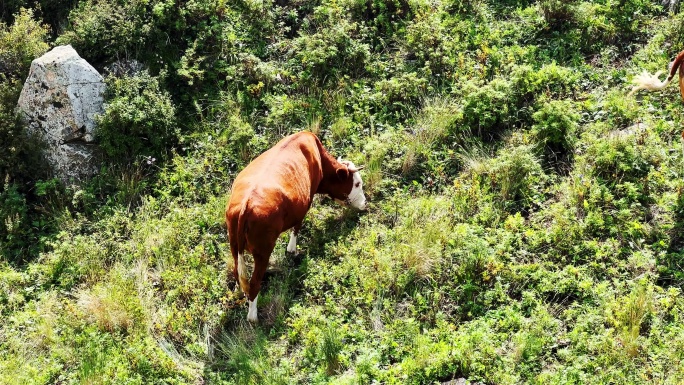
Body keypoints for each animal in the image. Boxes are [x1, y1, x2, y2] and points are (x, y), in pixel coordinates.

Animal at [226, 132, 366, 320]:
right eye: (357, 183)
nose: (365, 203)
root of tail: (245, 205)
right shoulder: (305, 202)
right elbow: (297, 227)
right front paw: (292, 249)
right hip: (263, 251)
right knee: (255, 283)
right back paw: (252, 317)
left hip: (234, 245)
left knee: (238, 274)